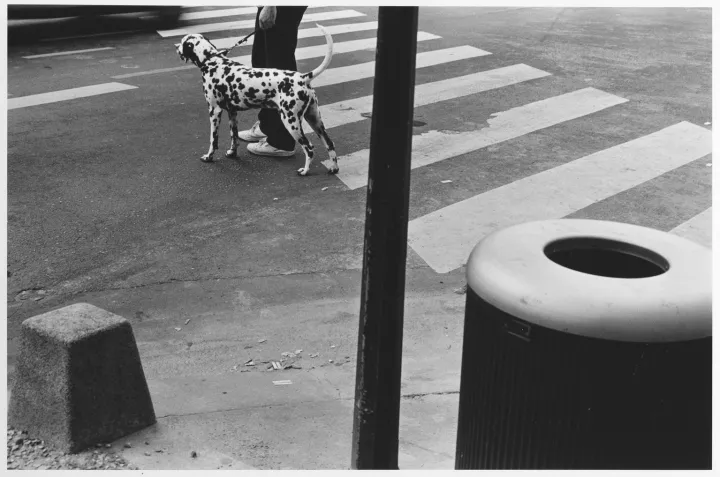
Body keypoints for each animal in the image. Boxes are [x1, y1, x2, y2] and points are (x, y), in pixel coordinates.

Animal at [179, 22, 338, 175]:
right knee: (330, 144)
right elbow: (234, 137)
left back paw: (305, 171)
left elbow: (213, 140)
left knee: (309, 148)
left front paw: (209, 157)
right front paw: (232, 153)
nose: (176, 47)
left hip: (291, 122)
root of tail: (303, 77)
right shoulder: (232, 113)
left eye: (182, 42)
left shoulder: (214, 112)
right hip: (314, 120)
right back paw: (334, 168)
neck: (212, 62)